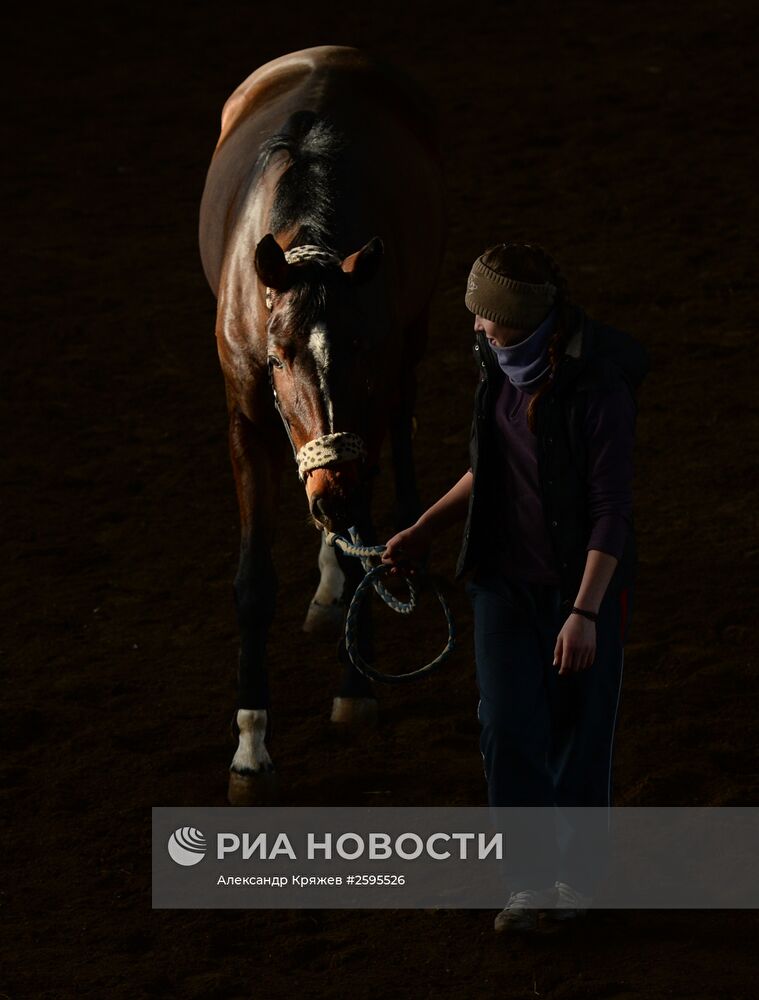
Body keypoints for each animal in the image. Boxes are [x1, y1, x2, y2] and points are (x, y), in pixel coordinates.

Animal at [199, 45, 446, 804]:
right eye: (277, 355)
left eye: (360, 347)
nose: (331, 488)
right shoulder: (248, 423)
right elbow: (253, 584)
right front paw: (251, 750)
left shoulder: (371, 405)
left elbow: (366, 529)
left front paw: (355, 689)